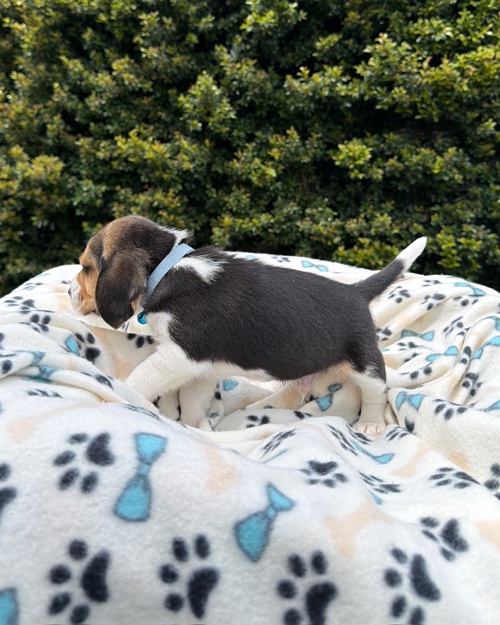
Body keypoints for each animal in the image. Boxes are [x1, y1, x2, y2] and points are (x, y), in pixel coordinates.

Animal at [70, 215, 426, 429]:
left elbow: (142, 377)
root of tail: (355, 291)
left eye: (86, 267)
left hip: (365, 363)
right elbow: (192, 401)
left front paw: (120, 391)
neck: (167, 270)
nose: (70, 291)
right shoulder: (201, 368)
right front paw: (196, 428)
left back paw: (370, 423)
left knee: (377, 391)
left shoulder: (181, 355)